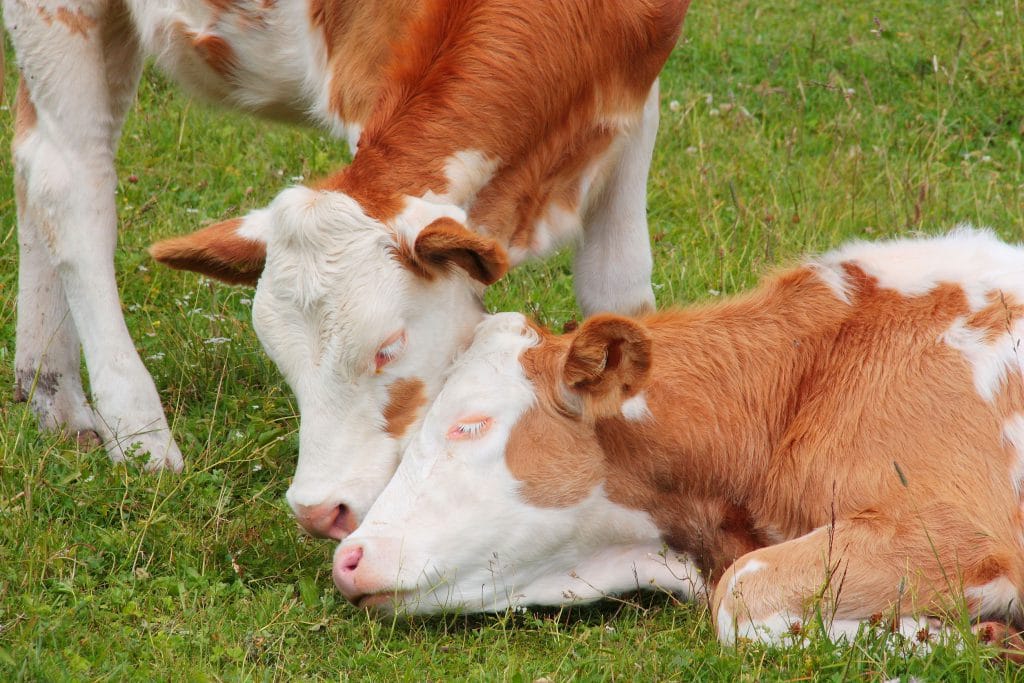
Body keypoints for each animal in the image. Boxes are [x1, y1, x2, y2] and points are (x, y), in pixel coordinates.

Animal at [6, 0, 688, 532]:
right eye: (279, 358)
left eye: (388, 348)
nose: (317, 511)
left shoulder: (636, 97)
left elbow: (617, 283)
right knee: (71, 181)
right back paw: (138, 427)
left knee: (34, 158)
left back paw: (52, 393)